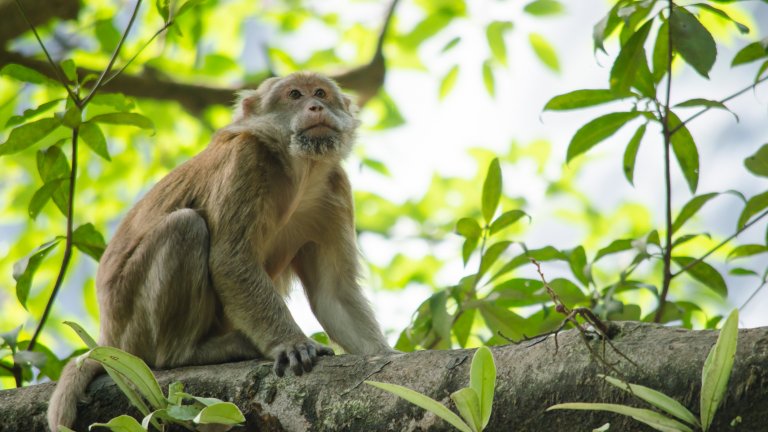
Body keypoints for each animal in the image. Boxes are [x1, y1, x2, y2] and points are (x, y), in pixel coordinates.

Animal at [48, 71, 392, 432]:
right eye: (295, 95)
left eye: (321, 93)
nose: (315, 106)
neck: (298, 171)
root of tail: (108, 337)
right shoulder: (246, 160)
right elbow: (231, 262)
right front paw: (292, 343)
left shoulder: (335, 189)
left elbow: (333, 293)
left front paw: (387, 355)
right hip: (132, 323)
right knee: (185, 226)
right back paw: (184, 353)